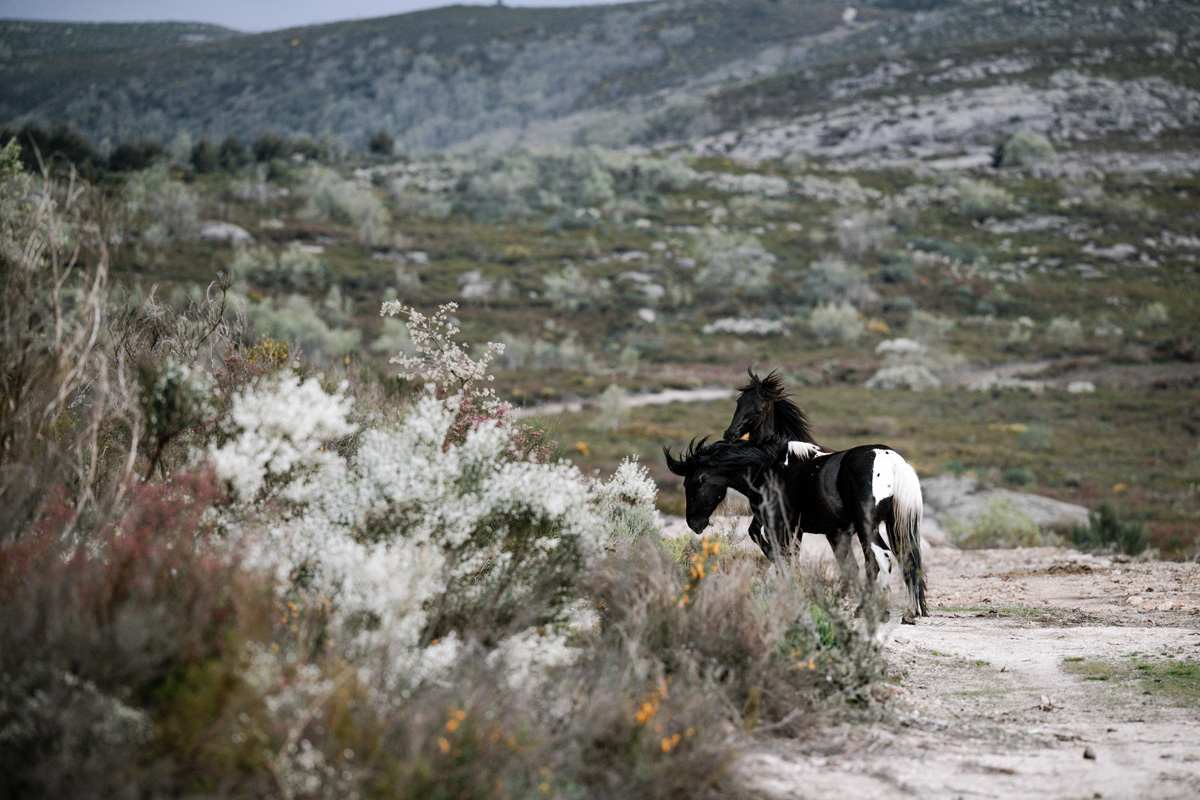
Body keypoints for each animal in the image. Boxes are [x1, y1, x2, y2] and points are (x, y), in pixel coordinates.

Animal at [664, 436, 927, 623]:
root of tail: (890, 459)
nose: (694, 523)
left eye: (695, 483)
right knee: (898, 560)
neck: (768, 469)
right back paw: (905, 611)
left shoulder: (780, 524)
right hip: (889, 527)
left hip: (868, 526)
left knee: (884, 557)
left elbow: (780, 553)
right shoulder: (828, 532)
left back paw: (882, 610)